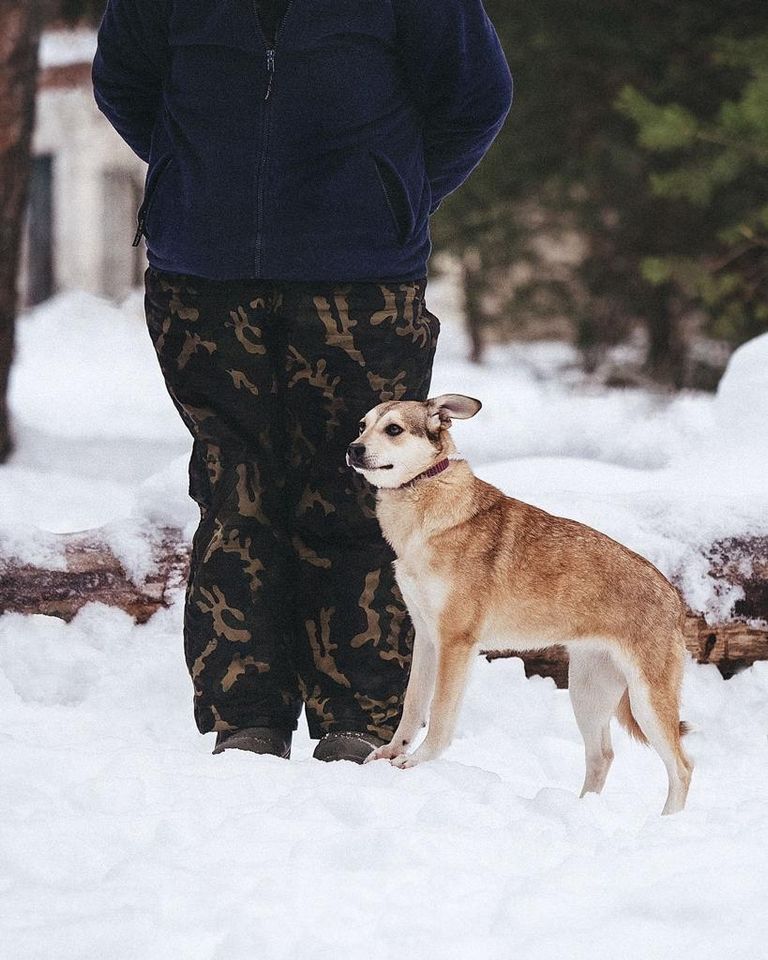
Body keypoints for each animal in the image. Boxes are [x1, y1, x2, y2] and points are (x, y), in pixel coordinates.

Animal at [348, 394, 696, 812]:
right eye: (362, 425)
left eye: (394, 429)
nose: (353, 449)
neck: (426, 512)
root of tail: (674, 597)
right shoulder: (427, 638)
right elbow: (413, 705)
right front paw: (391, 752)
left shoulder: (456, 643)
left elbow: (440, 715)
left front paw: (416, 762)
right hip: (588, 692)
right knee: (602, 756)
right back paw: (581, 810)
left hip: (646, 700)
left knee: (681, 768)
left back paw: (666, 821)